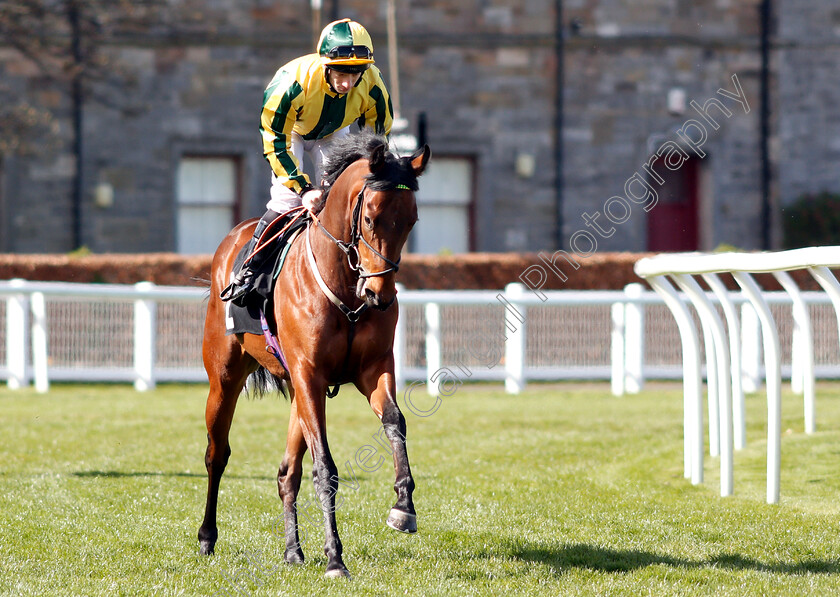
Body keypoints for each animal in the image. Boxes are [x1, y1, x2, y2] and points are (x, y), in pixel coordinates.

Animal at [199, 132, 430, 576]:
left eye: (411, 221)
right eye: (370, 218)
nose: (379, 295)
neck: (345, 288)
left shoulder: (371, 369)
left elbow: (396, 422)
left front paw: (403, 506)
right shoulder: (310, 374)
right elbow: (326, 467)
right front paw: (336, 557)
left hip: (298, 392)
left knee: (287, 472)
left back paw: (293, 550)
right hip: (225, 377)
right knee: (217, 455)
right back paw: (206, 537)